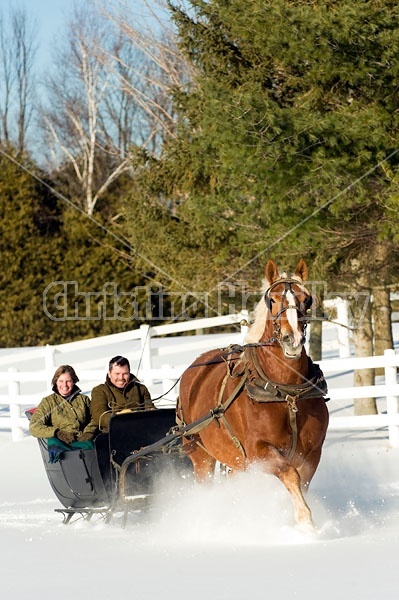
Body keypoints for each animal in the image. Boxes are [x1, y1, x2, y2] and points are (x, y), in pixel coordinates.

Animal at [177, 258, 328, 528]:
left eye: (307, 299)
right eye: (273, 300)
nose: (292, 339)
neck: (286, 394)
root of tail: (193, 367)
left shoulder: (312, 452)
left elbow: (302, 481)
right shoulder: (259, 452)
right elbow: (290, 474)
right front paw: (306, 521)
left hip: (234, 461)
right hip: (201, 457)